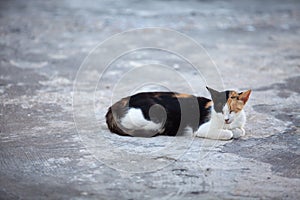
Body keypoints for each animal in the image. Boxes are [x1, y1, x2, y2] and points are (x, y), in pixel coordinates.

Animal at [105, 86, 251, 140]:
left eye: (232, 110)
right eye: (220, 110)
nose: (226, 119)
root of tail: (114, 105)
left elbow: (241, 130)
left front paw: (236, 130)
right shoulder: (202, 129)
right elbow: (229, 133)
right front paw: (231, 132)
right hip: (158, 116)